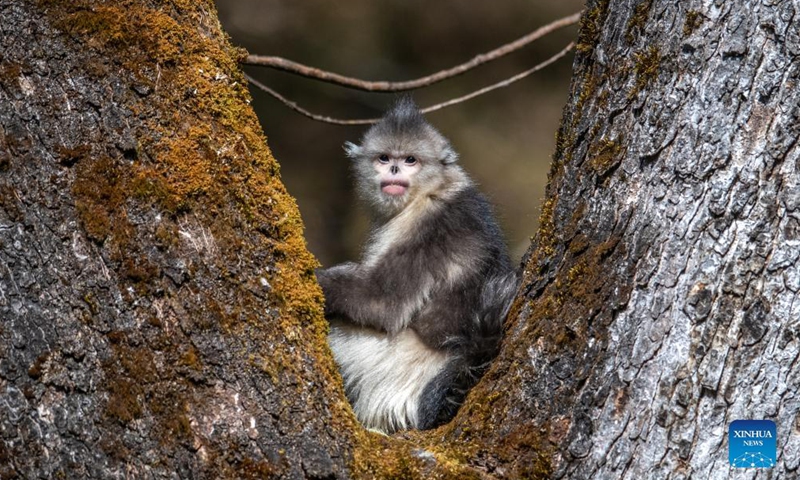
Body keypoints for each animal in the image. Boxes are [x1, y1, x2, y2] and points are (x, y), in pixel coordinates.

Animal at [316, 97, 518, 433]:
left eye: (410, 160)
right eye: (384, 158)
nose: (395, 169)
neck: (431, 190)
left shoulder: (428, 228)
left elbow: (382, 304)